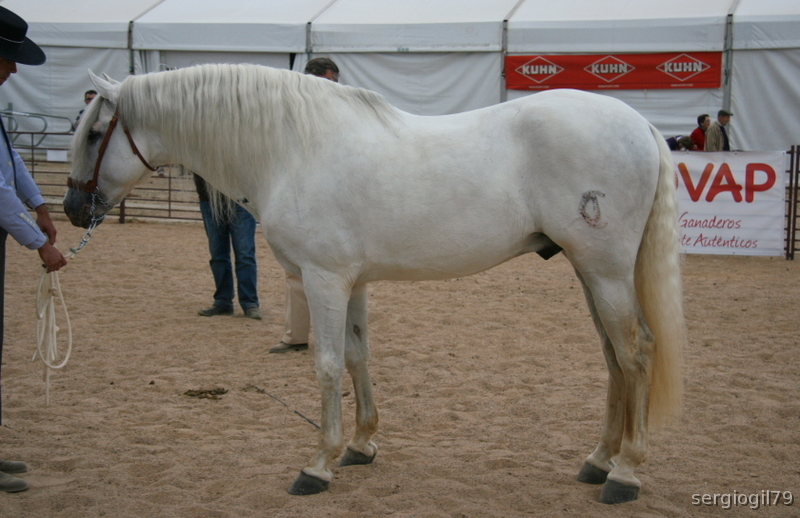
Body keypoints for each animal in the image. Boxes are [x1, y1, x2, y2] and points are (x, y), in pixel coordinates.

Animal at [64, 64, 685, 504]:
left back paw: (624, 474)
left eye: (95, 133)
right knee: (613, 358)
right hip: (589, 270)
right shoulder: (352, 282)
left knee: (636, 354)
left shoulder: (323, 280)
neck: (292, 149)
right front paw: (361, 446)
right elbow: (359, 357)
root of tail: (641, 125)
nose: (71, 209)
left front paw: (317, 465)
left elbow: (327, 365)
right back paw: (598, 460)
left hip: (604, 270)